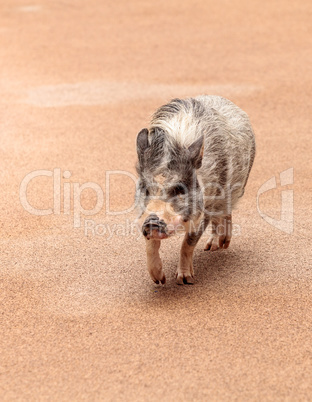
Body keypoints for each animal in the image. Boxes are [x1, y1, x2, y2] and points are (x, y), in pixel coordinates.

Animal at [135, 95, 255, 284]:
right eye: (146, 190)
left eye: (179, 189)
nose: (152, 220)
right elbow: (150, 244)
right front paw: (159, 280)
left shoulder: (205, 209)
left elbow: (188, 243)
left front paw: (184, 280)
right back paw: (212, 247)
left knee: (224, 211)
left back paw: (220, 245)